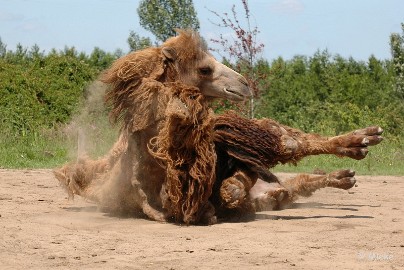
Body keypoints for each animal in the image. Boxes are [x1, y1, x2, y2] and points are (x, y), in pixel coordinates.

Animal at [52, 29, 382, 225]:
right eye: (205, 68)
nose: (245, 84)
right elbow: (230, 190)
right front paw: (232, 189)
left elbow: (275, 147)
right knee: (293, 179)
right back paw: (348, 168)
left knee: (291, 145)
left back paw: (362, 142)